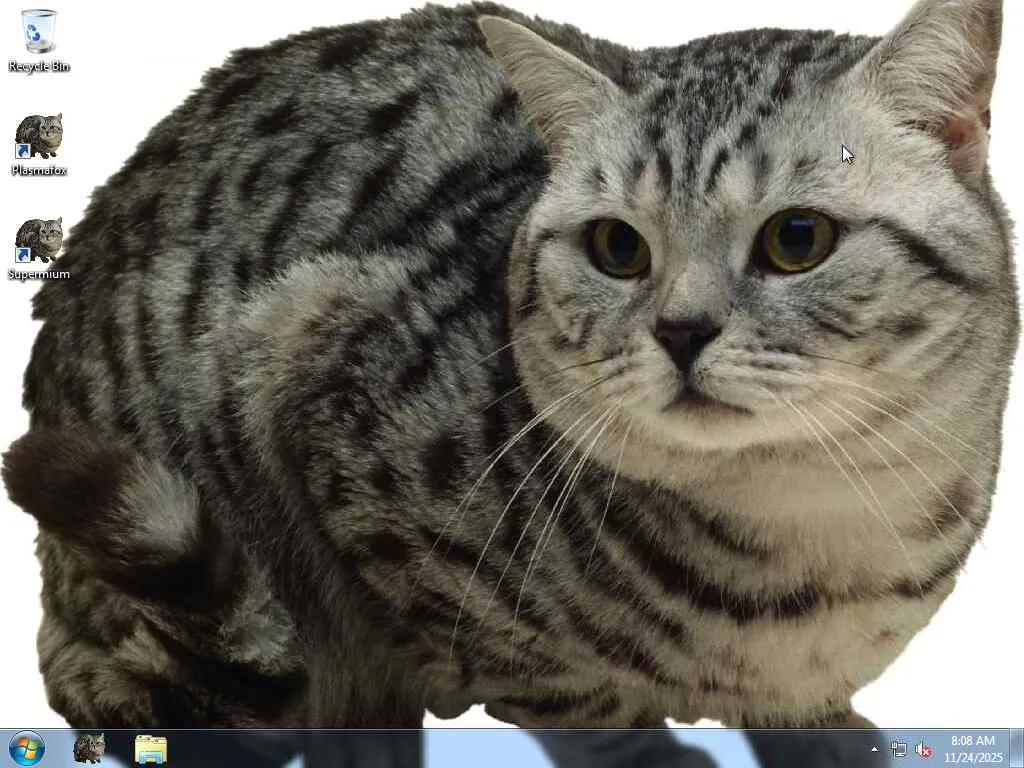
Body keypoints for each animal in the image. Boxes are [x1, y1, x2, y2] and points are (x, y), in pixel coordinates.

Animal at [2, 2, 1015, 768]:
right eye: (617, 247)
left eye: (797, 239)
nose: (681, 332)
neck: (819, 525)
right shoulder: (323, 370)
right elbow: (572, 700)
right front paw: (656, 752)